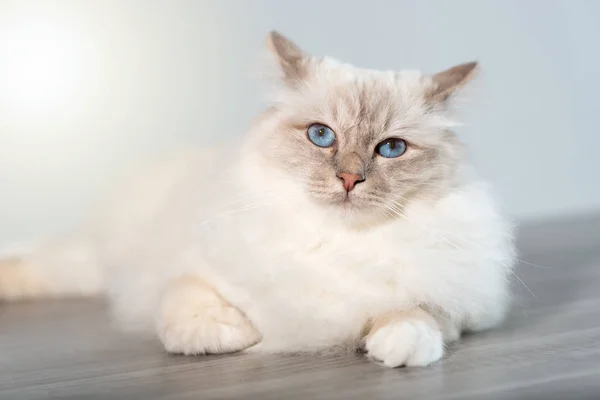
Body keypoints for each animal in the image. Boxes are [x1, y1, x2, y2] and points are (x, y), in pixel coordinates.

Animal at [0, 32, 516, 368]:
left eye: (391, 148)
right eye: (321, 136)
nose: (350, 179)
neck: (336, 243)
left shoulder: (457, 299)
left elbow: (420, 314)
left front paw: (396, 347)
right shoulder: (188, 268)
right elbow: (188, 307)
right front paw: (235, 335)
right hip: (95, 264)